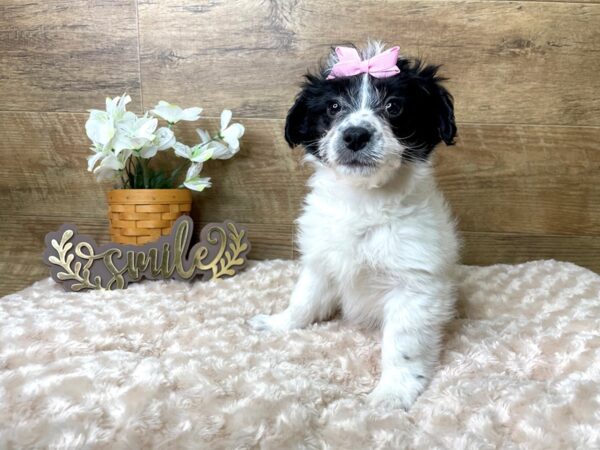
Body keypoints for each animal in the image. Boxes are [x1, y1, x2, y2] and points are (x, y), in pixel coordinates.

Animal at [248, 40, 460, 410]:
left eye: (394, 107)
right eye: (333, 107)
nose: (355, 134)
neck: (364, 201)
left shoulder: (415, 286)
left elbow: (402, 345)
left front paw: (393, 392)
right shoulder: (320, 262)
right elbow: (303, 300)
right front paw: (279, 323)